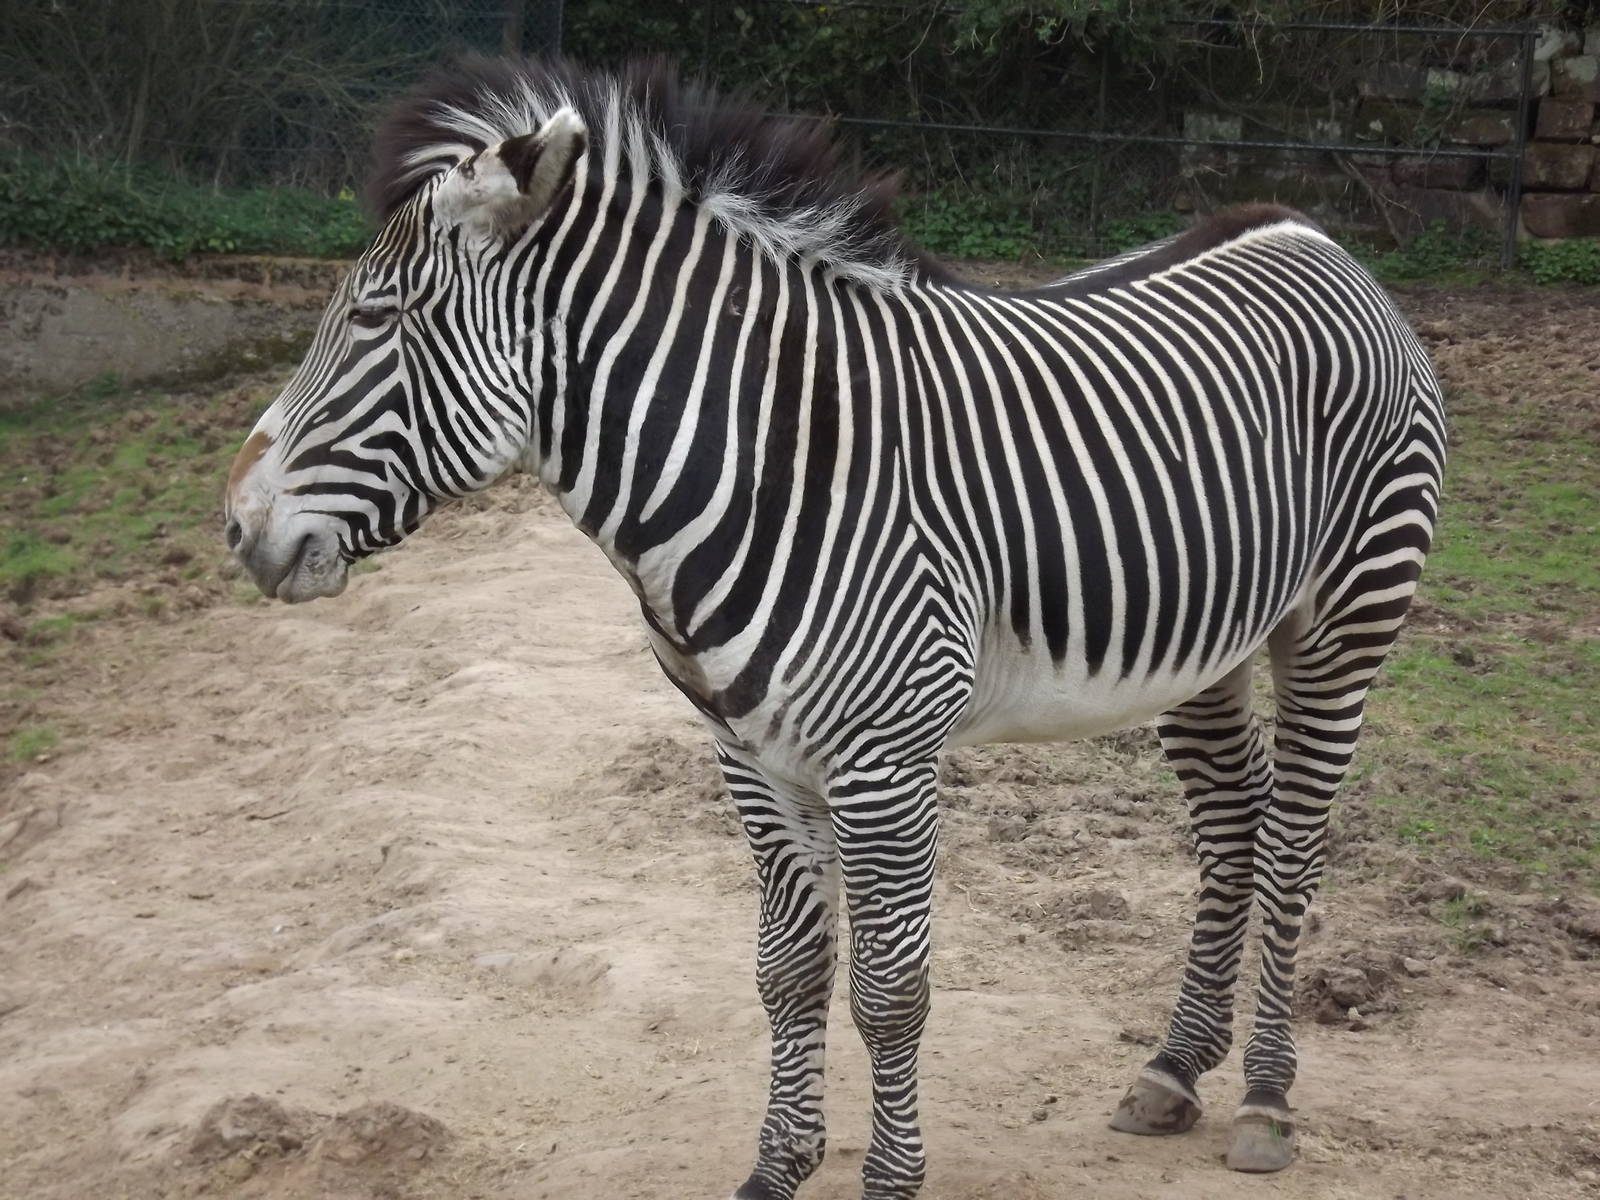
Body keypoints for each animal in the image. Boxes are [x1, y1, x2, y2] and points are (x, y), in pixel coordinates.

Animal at [223, 56, 1445, 1199]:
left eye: (374, 318)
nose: (236, 526)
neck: (761, 463)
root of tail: (1308, 231)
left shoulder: (885, 758)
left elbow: (891, 990)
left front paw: (891, 1178)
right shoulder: (752, 755)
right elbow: (789, 972)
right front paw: (777, 1166)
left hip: (1343, 620)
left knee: (1293, 840)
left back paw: (1266, 1099)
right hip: (1202, 646)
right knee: (1234, 824)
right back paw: (1175, 1069)